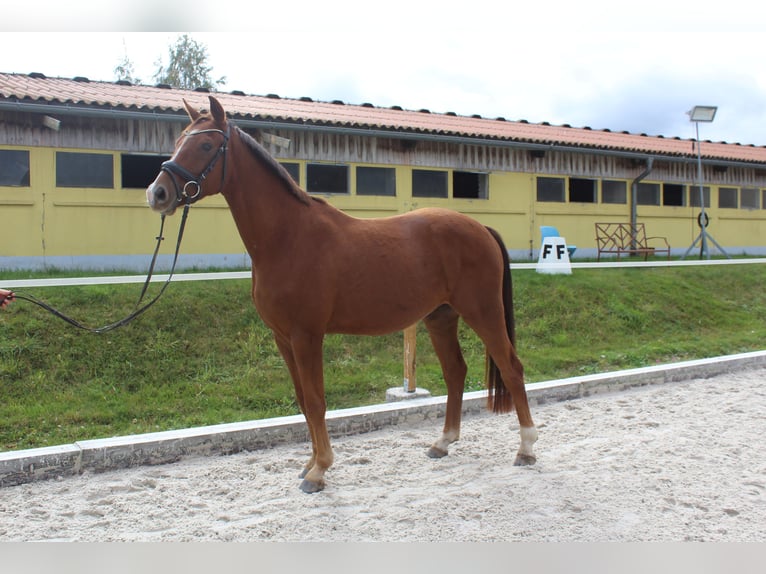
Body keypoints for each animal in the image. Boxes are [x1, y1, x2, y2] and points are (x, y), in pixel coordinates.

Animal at [146, 96, 538, 493]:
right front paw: (309, 464)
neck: (287, 237)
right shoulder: (282, 338)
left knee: (512, 367)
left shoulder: (306, 336)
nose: (157, 193)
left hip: (483, 312)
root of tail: (481, 228)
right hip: (441, 317)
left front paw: (319, 470)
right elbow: (303, 401)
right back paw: (442, 443)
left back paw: (526, 448)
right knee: (456, 372)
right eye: (178, 140)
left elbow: (316, 400)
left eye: (206, 145)